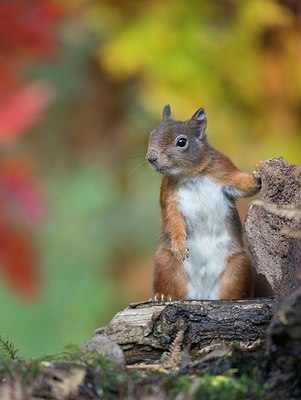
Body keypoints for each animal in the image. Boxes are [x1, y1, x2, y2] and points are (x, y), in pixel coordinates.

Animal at [146, 105, 262, 300]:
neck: (191, 175)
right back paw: (163, 296)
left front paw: (258, 175)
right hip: (165, 262)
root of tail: (202, 294)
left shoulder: (223, 170)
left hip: (238, 266)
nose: (151, 157)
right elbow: (172, 218)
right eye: (152, 134)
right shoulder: (168, 196)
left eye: (181, 142)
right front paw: (179, 245)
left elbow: (242, 184)